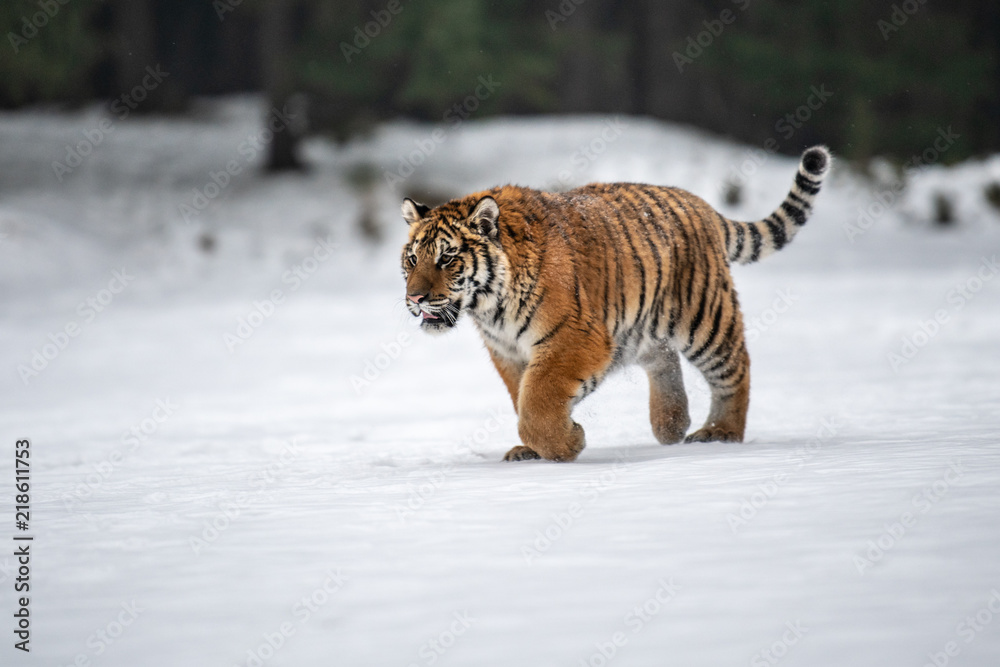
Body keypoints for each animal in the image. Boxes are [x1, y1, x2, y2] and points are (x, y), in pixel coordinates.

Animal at [400, 146, 830, 462]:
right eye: (413, 259)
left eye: (446, 258)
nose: (415, 298)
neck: (490, 307)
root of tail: (698, 201)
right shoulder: (508, 353)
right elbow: (521, 397)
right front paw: (535, 449)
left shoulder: (574, 338)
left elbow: (537, 401)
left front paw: (567, 444)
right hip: (642, 326)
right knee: (664, 358)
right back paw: (671, 423)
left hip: (705, 317)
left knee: (736, 369)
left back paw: (720, 433)